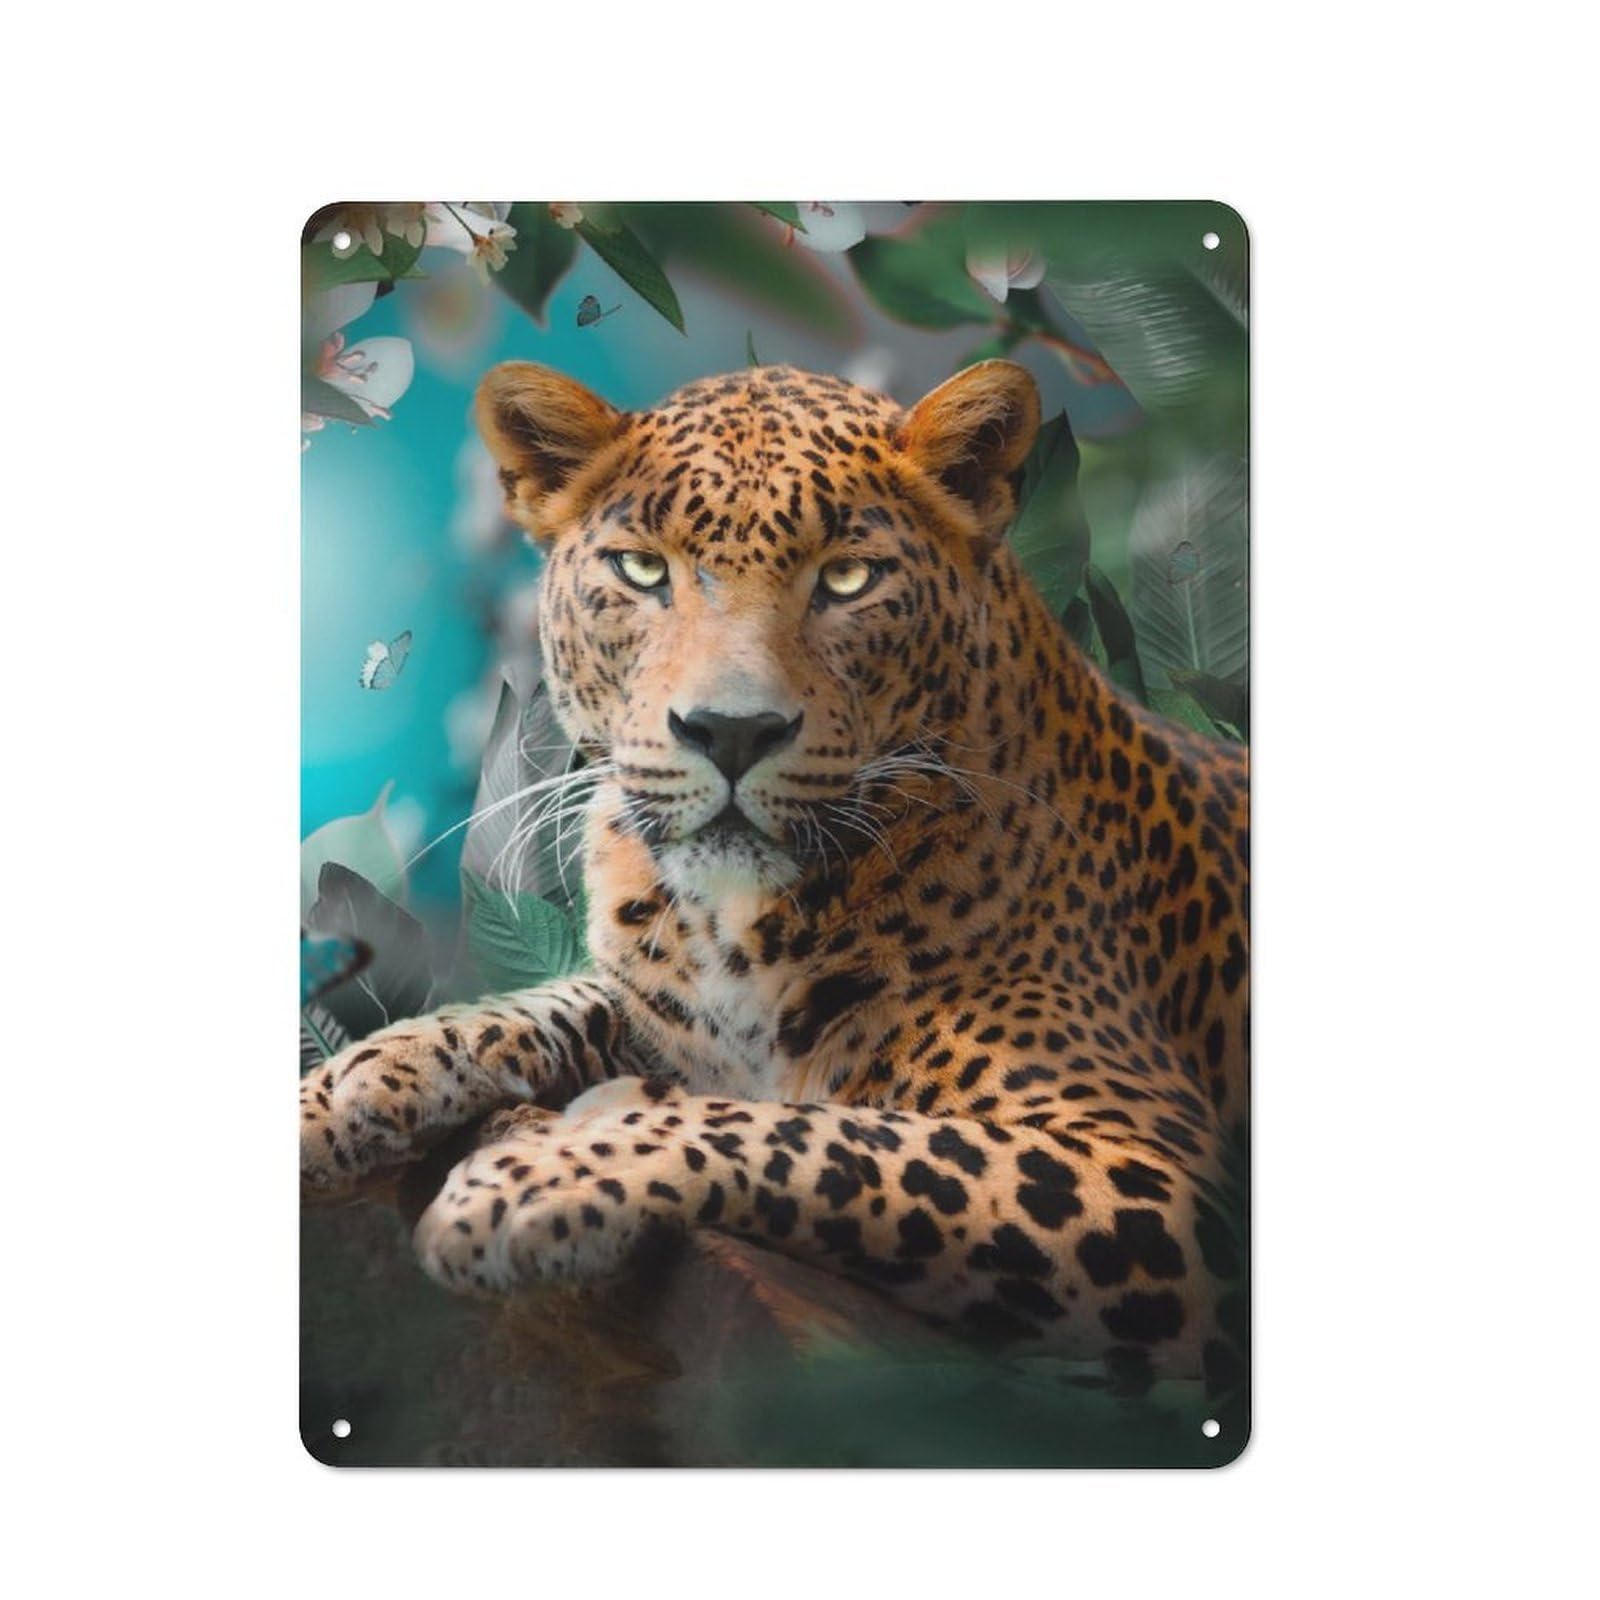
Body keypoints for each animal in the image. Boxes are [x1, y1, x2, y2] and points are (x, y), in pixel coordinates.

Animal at [300, 358, 1249, 1395]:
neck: (735, 930)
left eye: (847, 578)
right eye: (642, 570)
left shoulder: (1161, 1186)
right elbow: (556, 1003)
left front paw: (540, 1177)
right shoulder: (657, 1006)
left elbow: (829, 1135)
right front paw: (346, 1083)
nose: (730, 731)